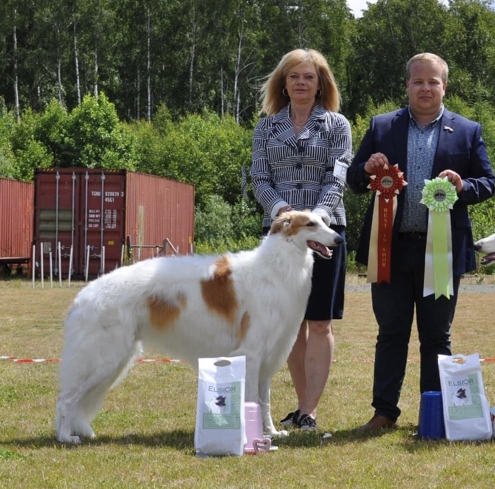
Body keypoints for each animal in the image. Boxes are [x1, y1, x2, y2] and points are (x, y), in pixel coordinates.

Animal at [53, 209, 340, 442]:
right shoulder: (252, 353)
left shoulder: (268, 358)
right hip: (102, 360)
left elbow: (264, 402)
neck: (276, 267)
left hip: (116, 360)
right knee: (65, 400)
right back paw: (66, 436)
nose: (339, 240)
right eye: (310, 224)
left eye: (325, 222)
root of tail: (83, 296)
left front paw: (271, 432)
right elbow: (252, 399)